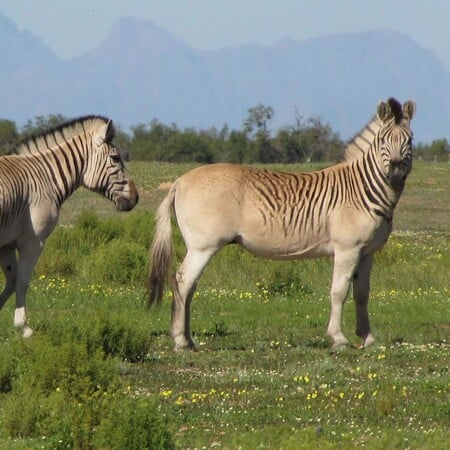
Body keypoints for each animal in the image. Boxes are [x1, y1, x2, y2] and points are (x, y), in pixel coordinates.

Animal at [0, 114, 139, 336]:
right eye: (116, 158)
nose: (136, 198)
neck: (45, 179)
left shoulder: (6, 244)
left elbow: (12, 281)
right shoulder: (33, 242)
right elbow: (22, 281)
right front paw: (24, 327)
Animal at [148, 98, 414, 352]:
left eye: (409, 141)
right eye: (383, 141)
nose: (395, 175)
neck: (361, 190)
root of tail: (180, 181)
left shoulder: (367, 251)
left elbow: (362, 294)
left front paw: (367, 338)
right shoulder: (347, 248)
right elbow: (339, 291)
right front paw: (338, 338)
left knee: (188, 285)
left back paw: (188, 340)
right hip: (203, 246)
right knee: (184, 281)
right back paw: (181, 340)